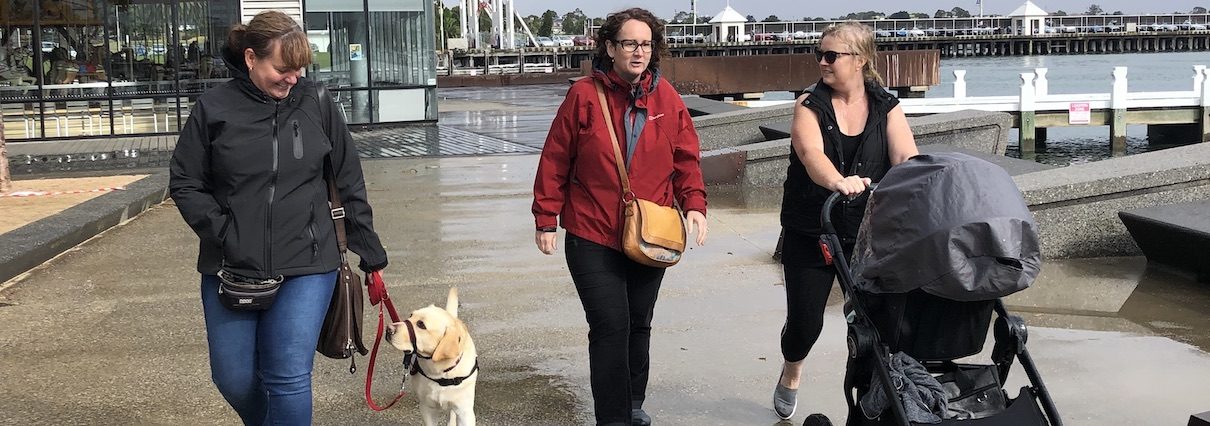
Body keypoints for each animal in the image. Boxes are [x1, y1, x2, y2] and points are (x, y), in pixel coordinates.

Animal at [389, 285, 479, 426]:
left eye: (421, 324)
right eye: (411, 315)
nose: (388, 329)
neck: (440, 372)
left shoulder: (465, 412)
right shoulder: (426, 408)